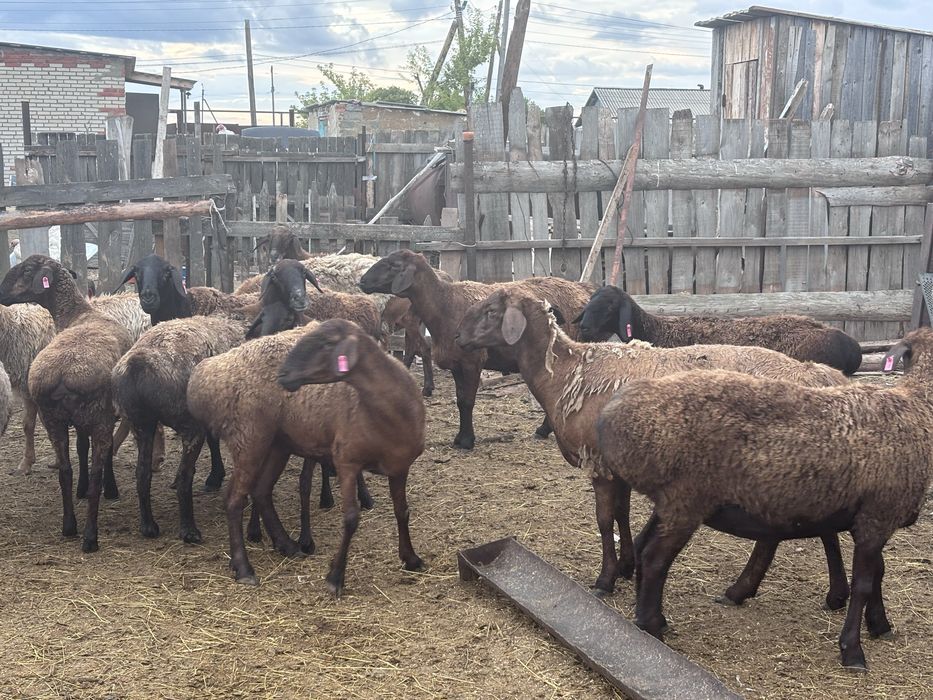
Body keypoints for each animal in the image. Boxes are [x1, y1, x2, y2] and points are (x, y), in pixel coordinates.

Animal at [187, 319, 425, 594]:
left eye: (327, 343)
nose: (283, 375)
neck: (390, 410)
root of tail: (202, 377)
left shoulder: (400, 467)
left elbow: (402, 511)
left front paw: (411, 558)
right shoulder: (347, 462)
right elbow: (351, 518)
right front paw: (335, 577)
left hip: (277, 445)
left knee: (261, 491)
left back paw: (287, 545)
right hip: (249, 439)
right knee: (235, 499)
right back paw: (244, 567)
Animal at [359, 249, 595, 449]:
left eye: (393, 265)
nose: (361, 281)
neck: (444, 304)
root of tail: (583, 289)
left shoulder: (472, 361)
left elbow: (467, 401)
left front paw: (466, 441)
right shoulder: (456, 364)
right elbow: (459, 400)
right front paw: (459, 438)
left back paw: (545, 429)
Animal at [595, 328, 933, 670]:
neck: (917, 408)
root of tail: (612, 414)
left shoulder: (874, 517)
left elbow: (877, 573)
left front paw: (879, 624)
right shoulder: (877, 515)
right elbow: (864, 583)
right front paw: (852, 650)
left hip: (671, 503)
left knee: (644, 547)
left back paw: (651, 619)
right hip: (685, 500)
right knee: (654, 559)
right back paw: (651, 624)